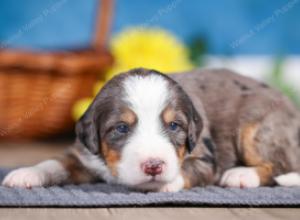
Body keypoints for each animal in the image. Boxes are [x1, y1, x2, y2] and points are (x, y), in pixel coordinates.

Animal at [2, 68, 300, 192]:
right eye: (121, 128)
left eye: (174, 125)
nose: (153, 166)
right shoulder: (83, 155)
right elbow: (53, 163)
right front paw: (25, 174)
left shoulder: (206, 158)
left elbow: (187, 170)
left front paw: (165, 182)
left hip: (256, 128)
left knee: (282, 165)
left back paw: (241, 175)